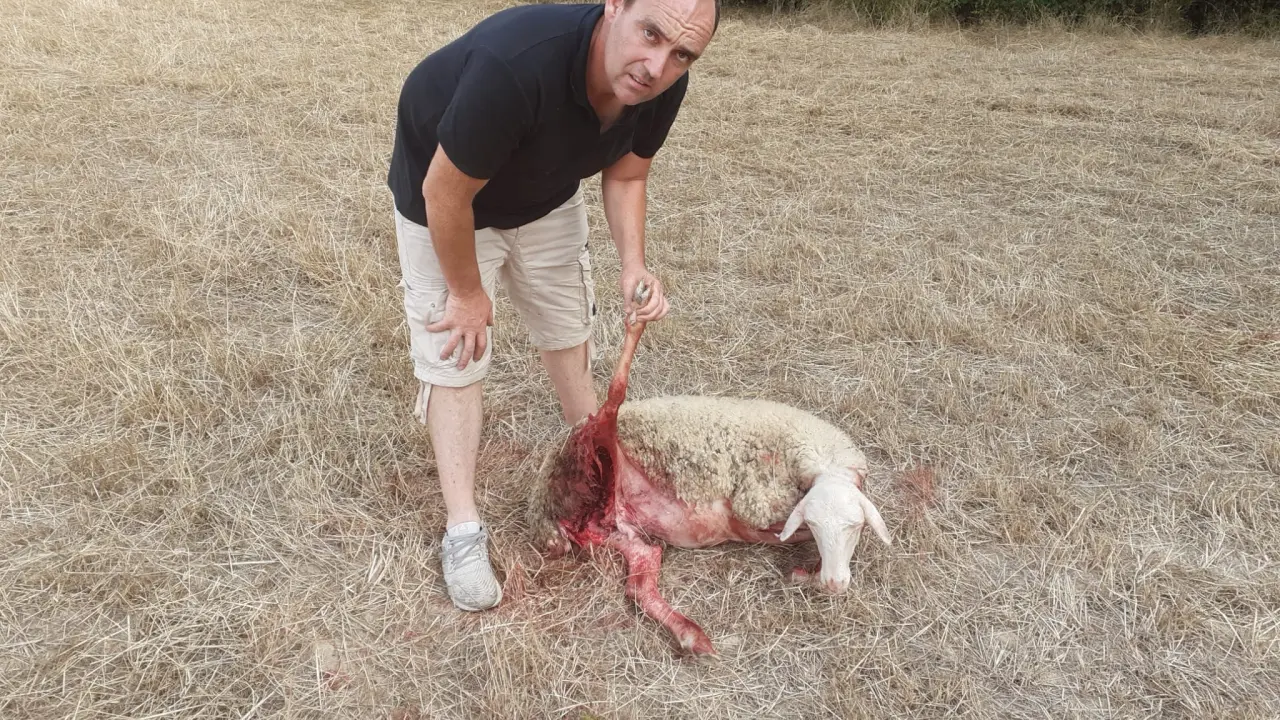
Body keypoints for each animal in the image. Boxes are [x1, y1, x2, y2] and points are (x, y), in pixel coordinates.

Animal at [526, 285, 891, 658]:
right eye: (818, 525)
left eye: (856, 526)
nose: (835, 585)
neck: (815, 458)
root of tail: (544, 515)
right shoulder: (754, 510)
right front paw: (810, 574)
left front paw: (808, 575)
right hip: (593, 446)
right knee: (613, 397)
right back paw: (638, 316)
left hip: (616, 530)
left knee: (640, 582)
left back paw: (690, 635)